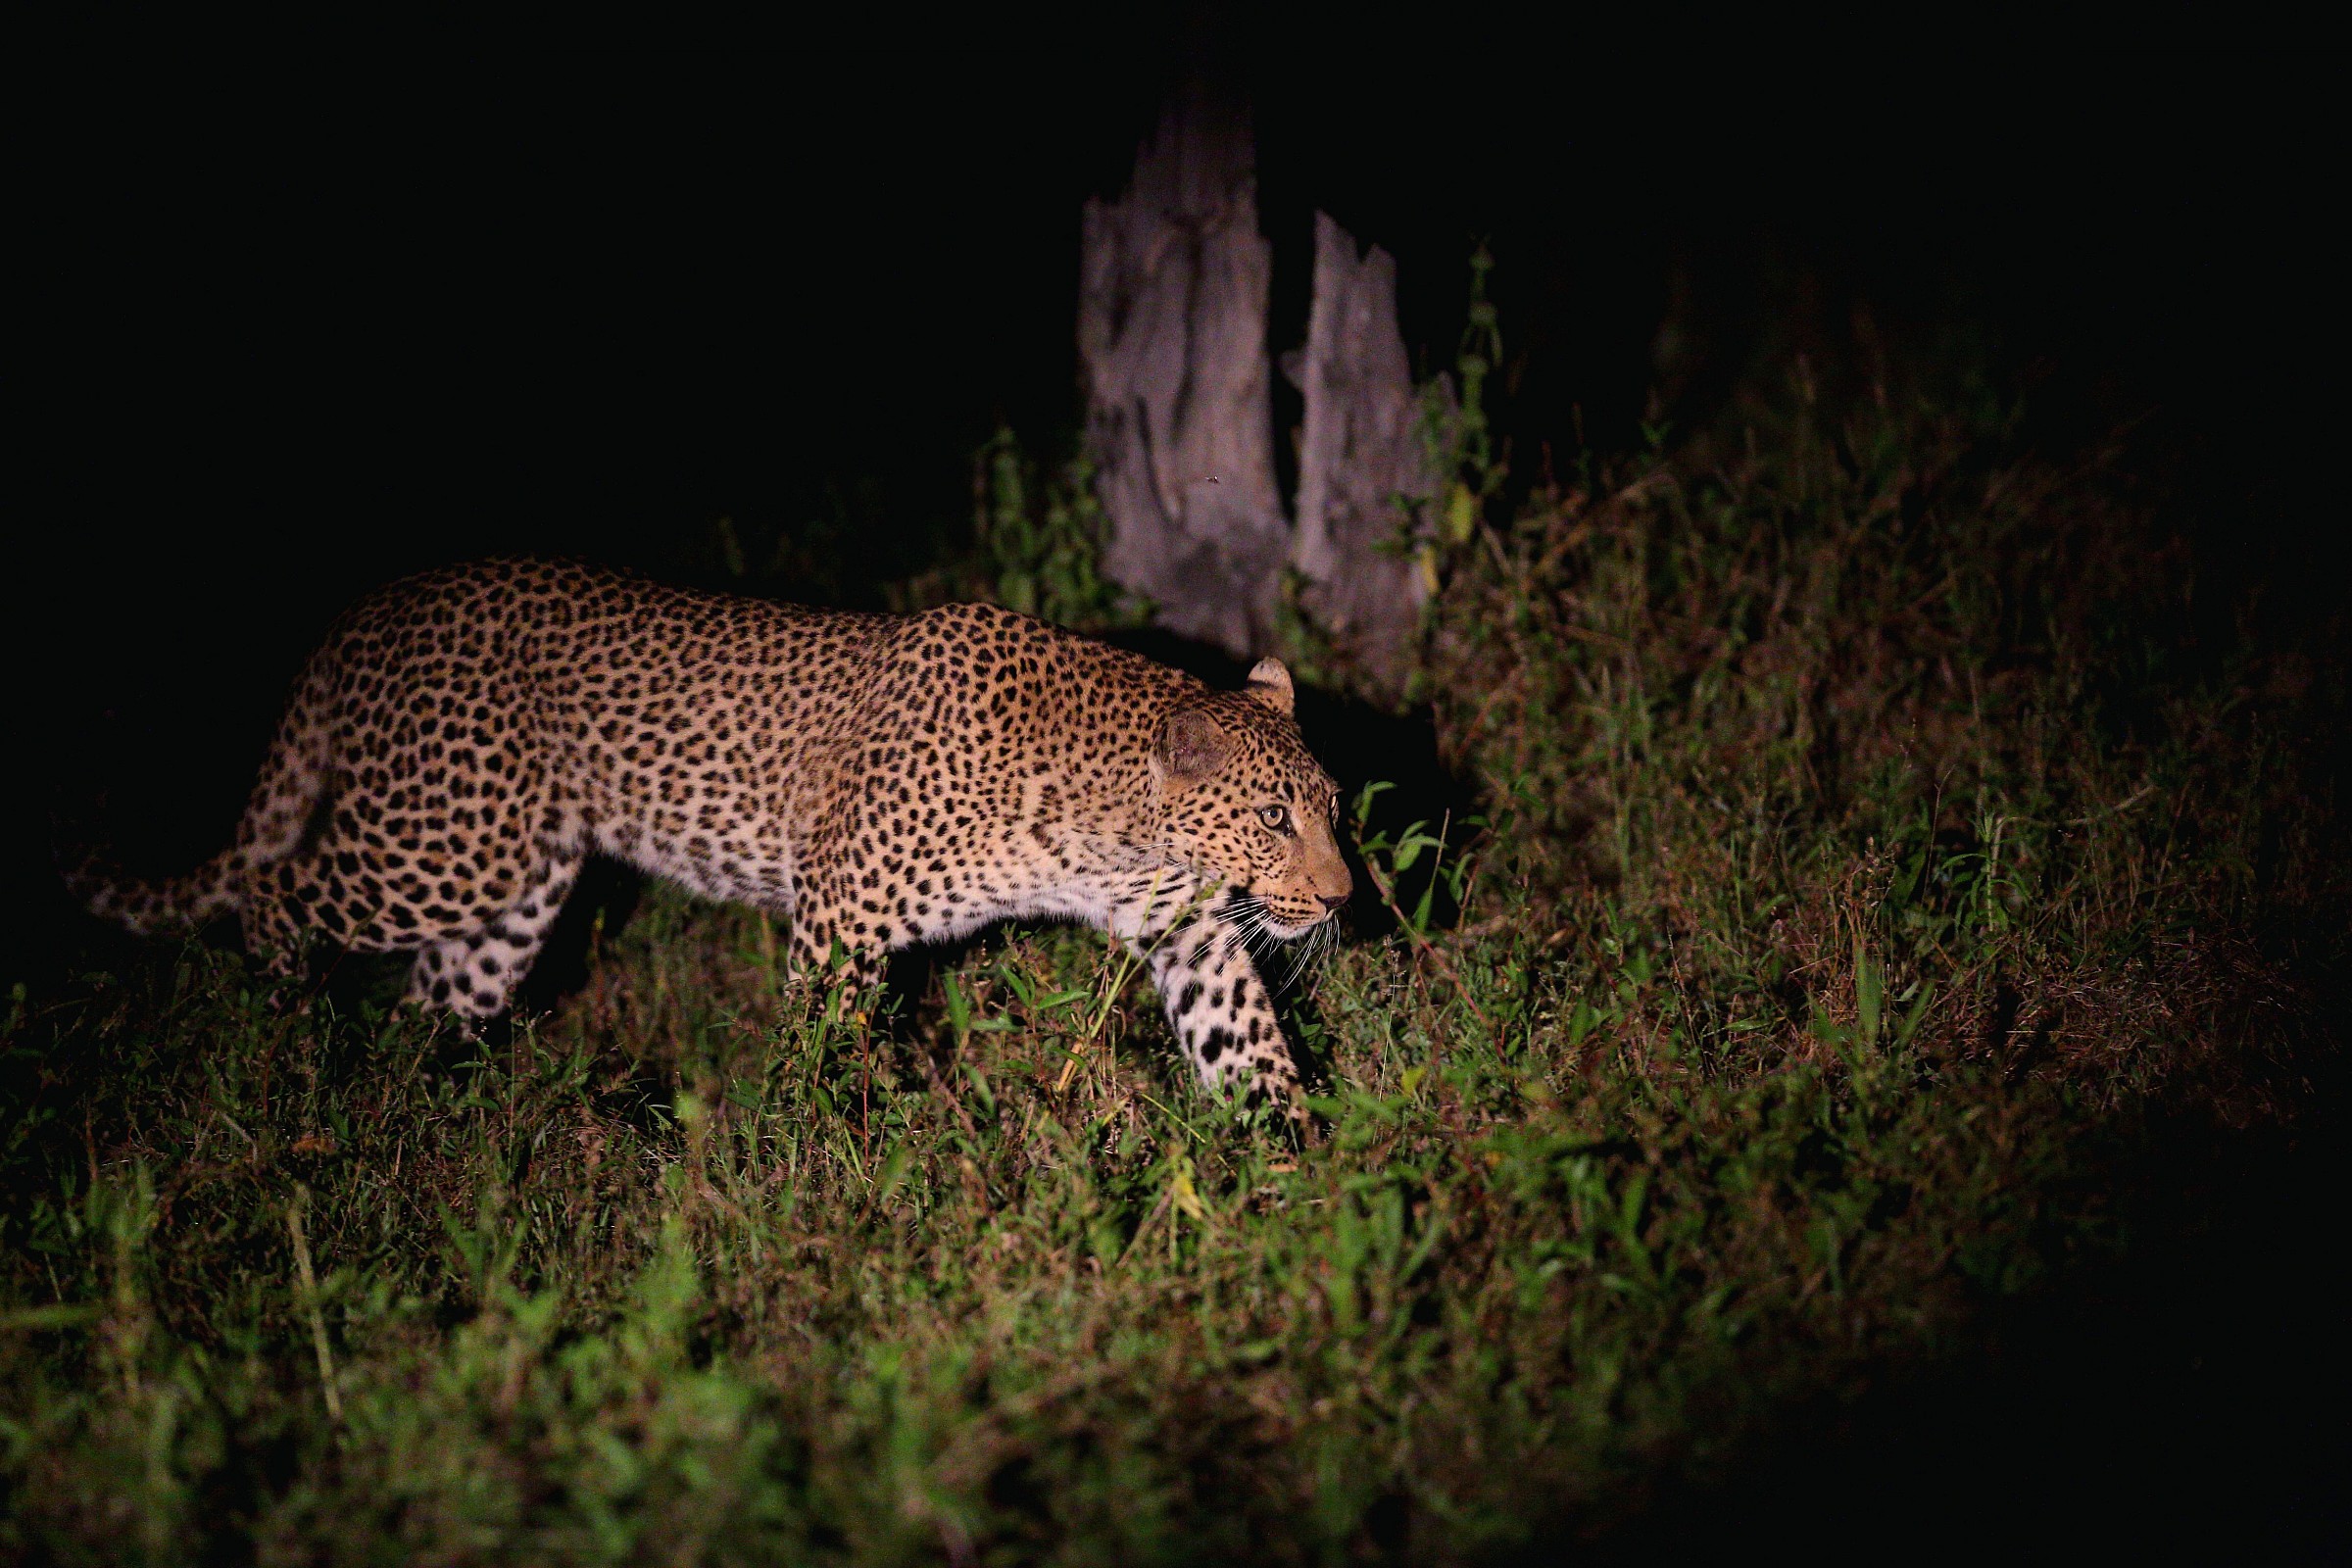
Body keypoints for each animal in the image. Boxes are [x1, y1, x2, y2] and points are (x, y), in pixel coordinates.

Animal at [70, 556, 1353, 1112]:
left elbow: (1249, 1045)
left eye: (1332, 810)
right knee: (273, 892)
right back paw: (290, 1038)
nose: (1343, 898)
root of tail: (368, 605)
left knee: (435, 1000)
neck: (1111, 827)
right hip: (448, 842)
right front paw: (819, 1173)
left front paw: (1294, 1187)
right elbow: (817, 1058)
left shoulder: (1191, 932)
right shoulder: (841, 916)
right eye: (1272, 816)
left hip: (515, 896)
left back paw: (419, 1117)